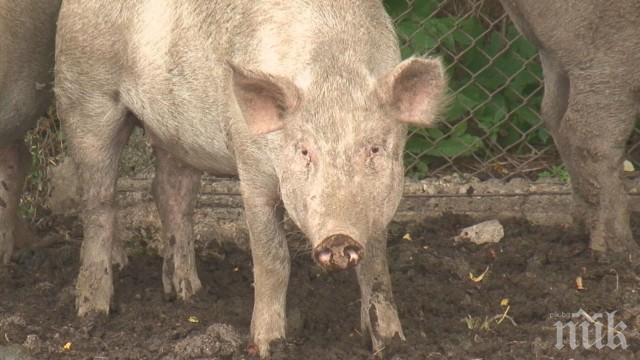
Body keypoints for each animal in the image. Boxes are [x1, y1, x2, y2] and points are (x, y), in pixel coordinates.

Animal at [53, 0, 444, 356]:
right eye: (304, 151)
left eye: (374, 148)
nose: (338, 237)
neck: (334, 71)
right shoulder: (251, 167)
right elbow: (272, 258)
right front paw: (267, 345)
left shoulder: (380, 202)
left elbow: (376, 265)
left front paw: (390, 341)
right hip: (86, 98)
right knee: (98, 201)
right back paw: (93, 310)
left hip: (175, 134)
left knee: (170, 194)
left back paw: (187, 293)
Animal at [500, 1, 640, 258]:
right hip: (610, 52)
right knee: (591, 136)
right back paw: (621, 251)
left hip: (555, 52)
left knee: (553, 115)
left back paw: (583, 230)